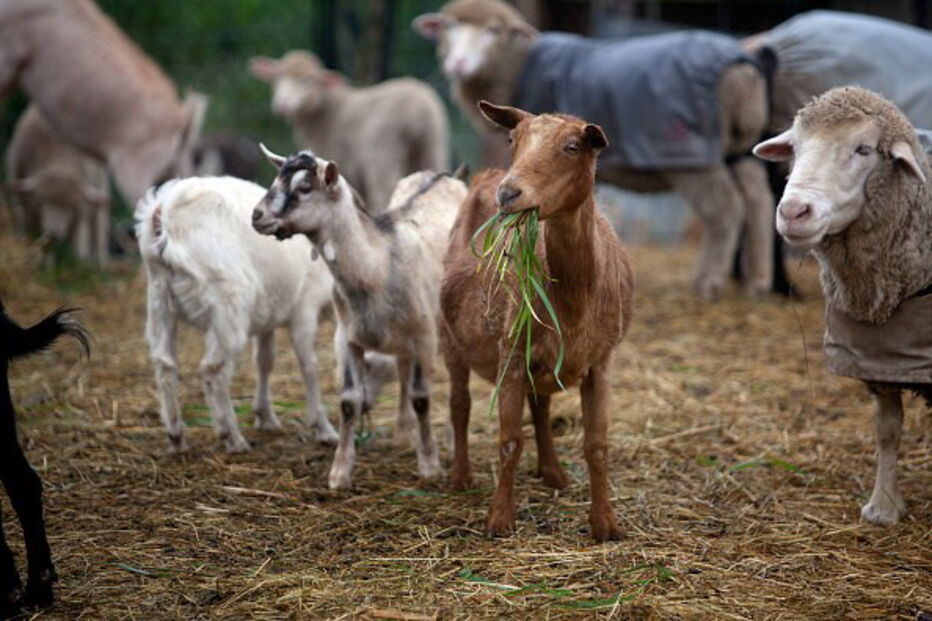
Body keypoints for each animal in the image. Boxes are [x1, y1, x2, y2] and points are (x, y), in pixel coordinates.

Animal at [6, 104, 111, 264]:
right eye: (41, 200)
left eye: (71, 206)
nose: (53, 234)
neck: (60, 160)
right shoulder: (29, 207)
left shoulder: (79, 210)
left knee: (96, 229)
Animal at [136, 176, 338, 453]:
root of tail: (163, 213)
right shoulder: (304, 307)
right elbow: (308, 365)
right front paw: (324, 429)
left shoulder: (268, 316)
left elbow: (264, 360)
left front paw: (265, 416)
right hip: (227, 303)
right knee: (213, 370)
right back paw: (231, 436)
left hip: (159, 298)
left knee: (164, 365)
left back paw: (176, 436)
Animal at [252, 146, 467, 489]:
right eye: (276, 179)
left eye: (304, 188)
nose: (257, 216)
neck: (377, 267)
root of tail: (445, 175)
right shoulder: (347, 337)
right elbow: (349, 401)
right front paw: (339, 474)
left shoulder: (423, 335)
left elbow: (422, 396)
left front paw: (430, 466)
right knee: (403, 371)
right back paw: (402, 434)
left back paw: (447, 442)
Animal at [440, 102, 634, 541]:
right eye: (513, 139)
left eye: (573, 146)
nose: (508, 194)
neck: (575, 300)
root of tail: (484, 176)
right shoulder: (510, 352)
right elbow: (509, 440)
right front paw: (499, 519)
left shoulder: (601, 361)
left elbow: (597, 445)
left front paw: (605, 523)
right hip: (449, 339)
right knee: (459, 404)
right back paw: (460, 476)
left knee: (541, 407)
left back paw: (552, 472)